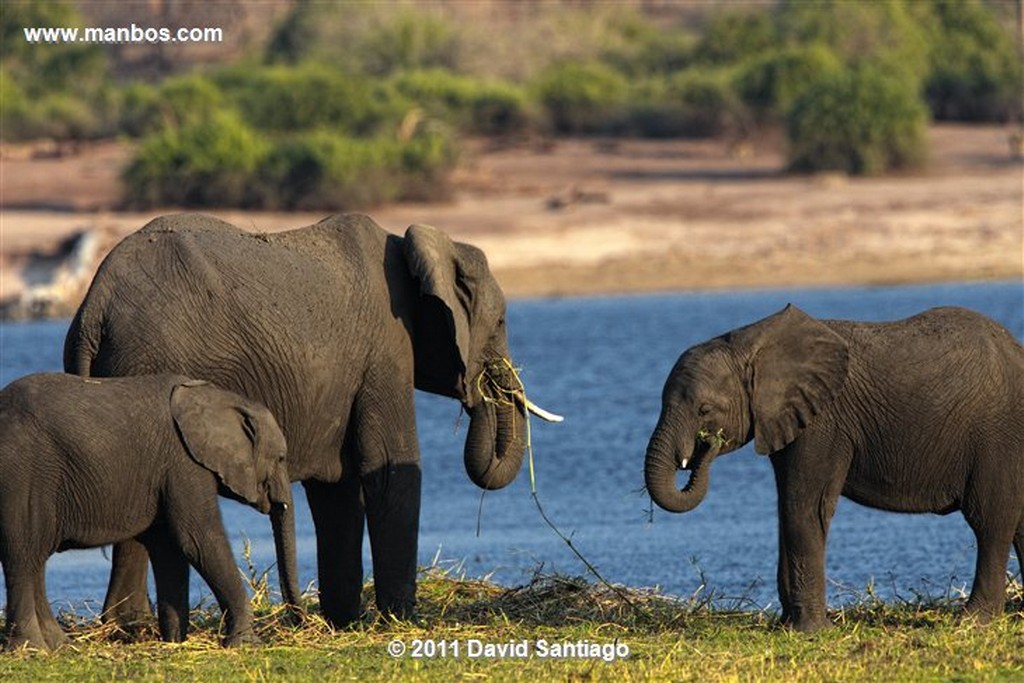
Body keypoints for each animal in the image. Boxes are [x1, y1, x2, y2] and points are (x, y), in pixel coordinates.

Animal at [0, 374, 299, 651]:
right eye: (281, 457)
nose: (298, 621)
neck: (218, 396)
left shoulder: (166, 470)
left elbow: (168, 547)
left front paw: (175, 641)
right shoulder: (183, 462)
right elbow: (197, 539)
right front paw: (246, 644)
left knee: (35, 559)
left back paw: (59, 646)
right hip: (21, 474)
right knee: (22, 555)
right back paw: (32, 649)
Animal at [64, 214, 561, 630]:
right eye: (501, 322)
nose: (482, 388)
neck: (414, 247)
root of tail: (94, 309)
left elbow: (336, 490)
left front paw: (344, 622)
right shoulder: (385, 350)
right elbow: (389, 470)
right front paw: (400, 621)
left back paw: (125, 628)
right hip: (149, 363)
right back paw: (130, 627)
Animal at [647, 307, 1024, 634]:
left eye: (704, 410)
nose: (705, 446)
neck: (749, 342)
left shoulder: (824, 422)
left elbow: (805, 508)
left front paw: (810, 631)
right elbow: (786, 508)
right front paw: (788, 626)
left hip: (998, 436)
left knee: (990, 519)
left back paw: (973, 620)